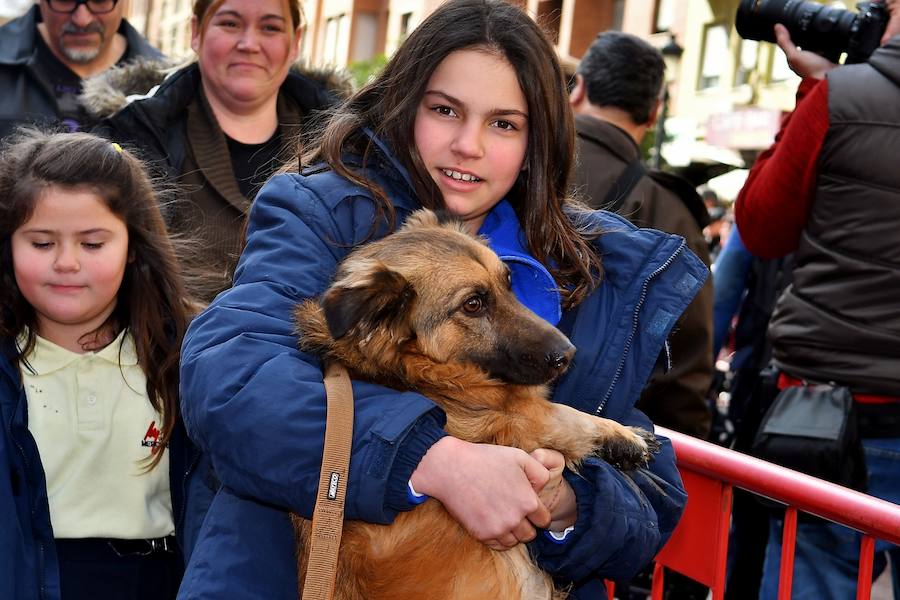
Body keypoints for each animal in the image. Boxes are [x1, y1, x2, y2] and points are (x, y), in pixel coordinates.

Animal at [296, 209, 660, 596]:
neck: (410, 368)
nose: (569, 355)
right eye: (473, 304)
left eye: (508, 282)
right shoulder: (518, 420)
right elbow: (570, 416)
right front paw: (626, 439)